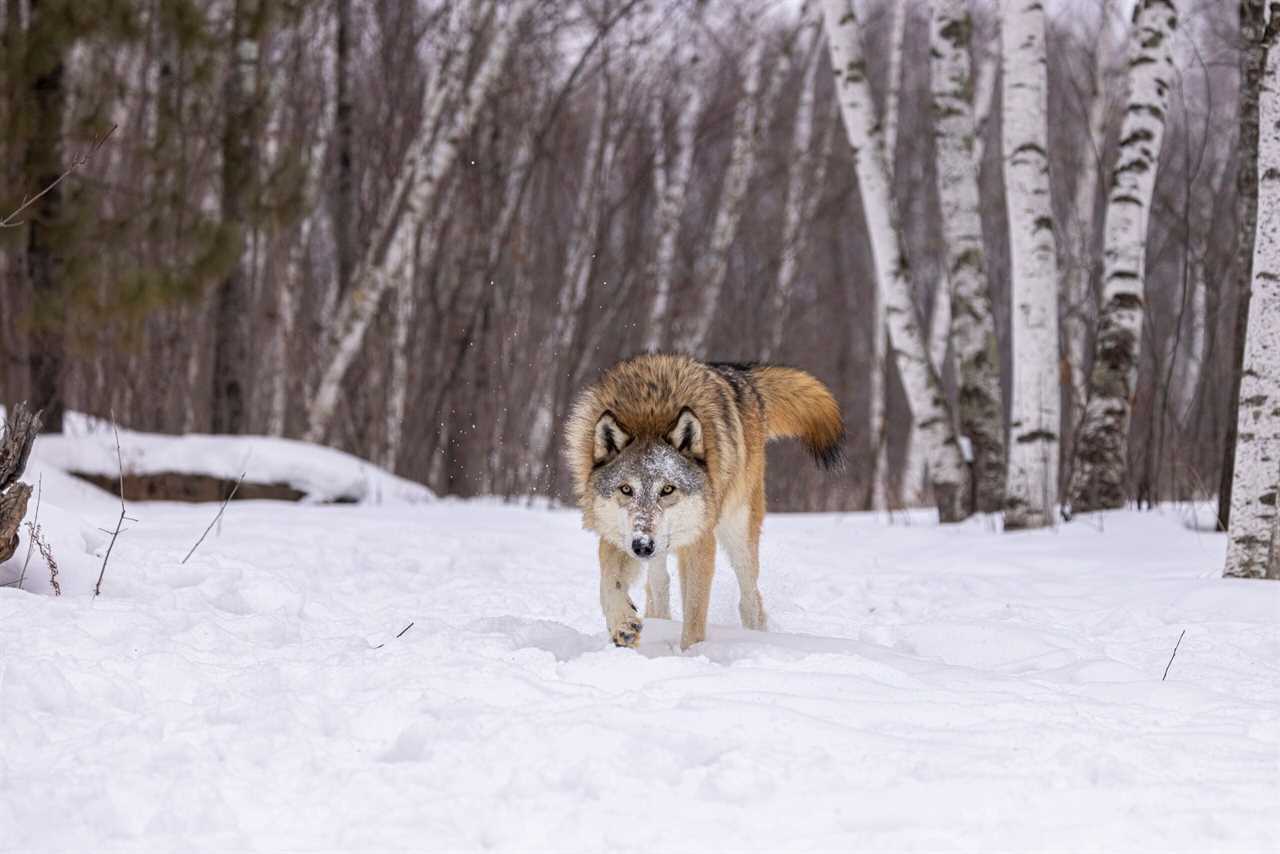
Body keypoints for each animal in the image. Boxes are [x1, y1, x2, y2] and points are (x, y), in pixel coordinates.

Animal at [565, 353, 844, 647]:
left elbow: (695, 611)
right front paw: (623, 624)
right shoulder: (616, 534)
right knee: (659, 585)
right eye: (626, 489)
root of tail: (740, 374)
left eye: (667, 489)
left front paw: (692, 652)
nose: (642, 546)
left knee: (751, 599)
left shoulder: (700, 540)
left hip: (738, 535)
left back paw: (756, 633)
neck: (650, 414)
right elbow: (609, 584)